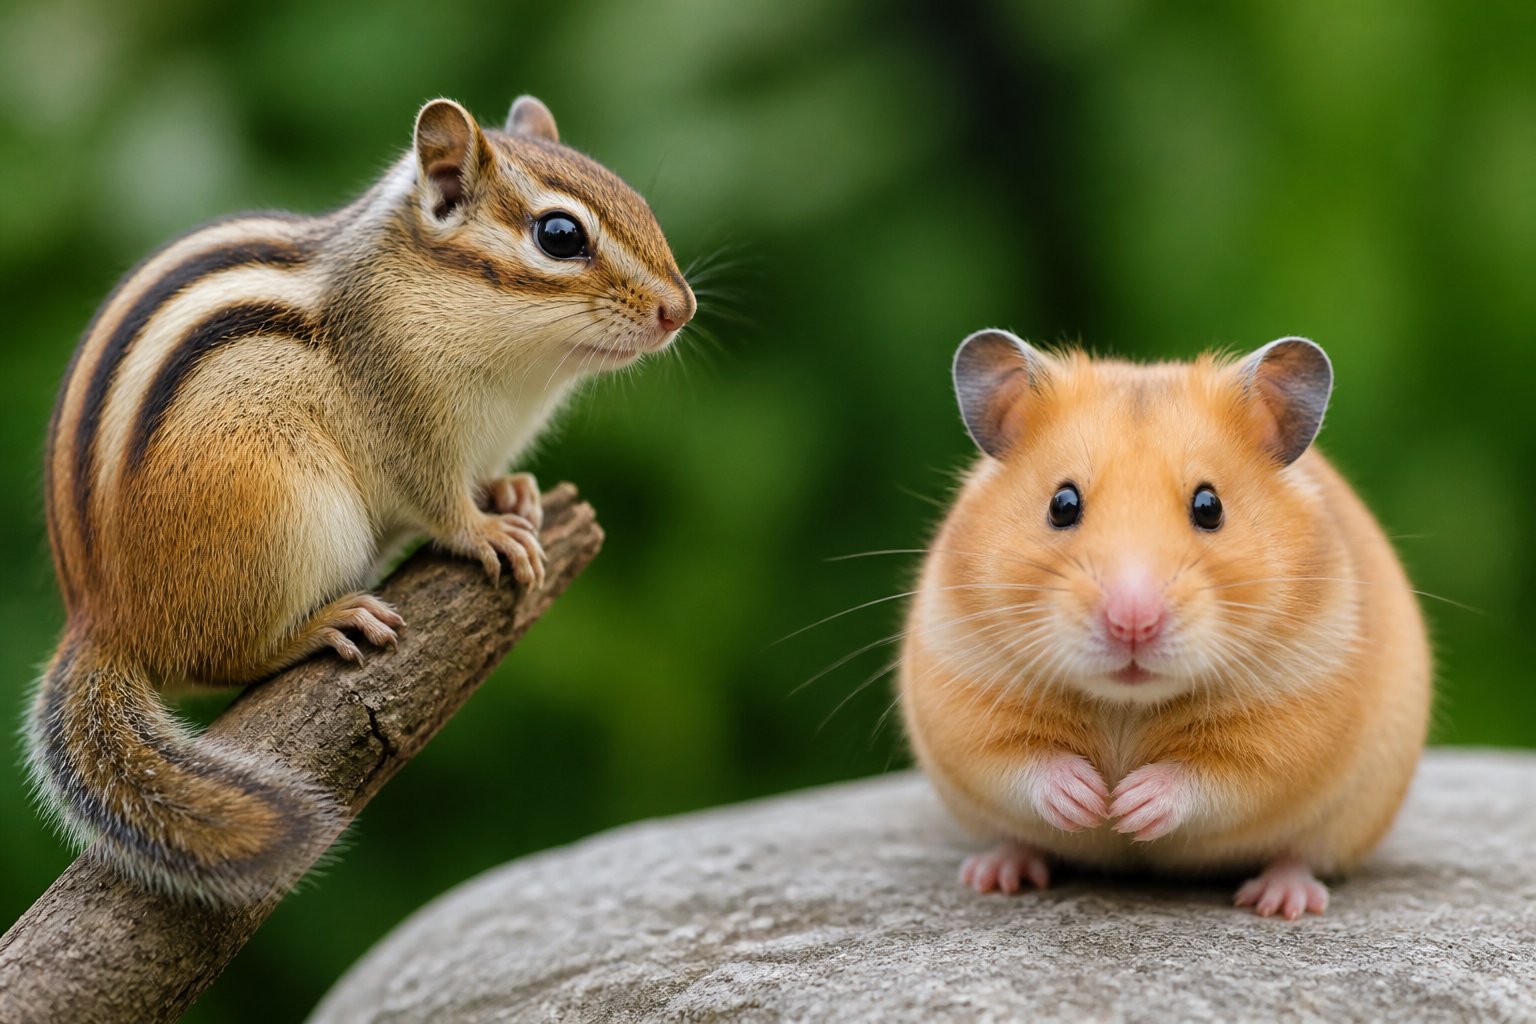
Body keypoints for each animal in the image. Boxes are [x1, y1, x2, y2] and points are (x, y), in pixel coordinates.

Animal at [29, 95, 695, 904]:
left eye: (640, 201)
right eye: (559, 235)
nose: (681, 308)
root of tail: (102, 616)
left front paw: (513, 490)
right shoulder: (404, 422)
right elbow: (438, 501)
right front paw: (485, 531)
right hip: (284, 515)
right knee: (223, 657)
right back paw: (323, 624)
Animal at [899, 330, 1430, 918]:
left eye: (1209, 506)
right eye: (1062, 504)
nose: (1133, 622)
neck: (1126, 704)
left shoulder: (1291, 718)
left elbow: (1215, 777)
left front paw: (1129, 805)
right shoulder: (962, 694)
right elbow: (1019, 761)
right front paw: (1091, 801)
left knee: (1299, 854)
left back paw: (1281, 900)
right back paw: (993, 873)